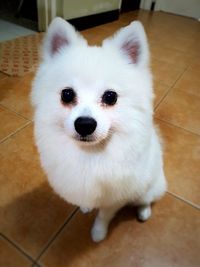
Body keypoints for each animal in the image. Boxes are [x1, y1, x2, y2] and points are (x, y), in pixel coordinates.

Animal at [30, 16, 166, 243]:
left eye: (110, 97)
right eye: (67, 95)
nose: (84, 124)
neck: (91, 154)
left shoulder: (114, 198)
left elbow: (103, 215)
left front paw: (98, 233)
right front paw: (85, 207)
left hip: (150, 184)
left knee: (145, 198)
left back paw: (144, 211)